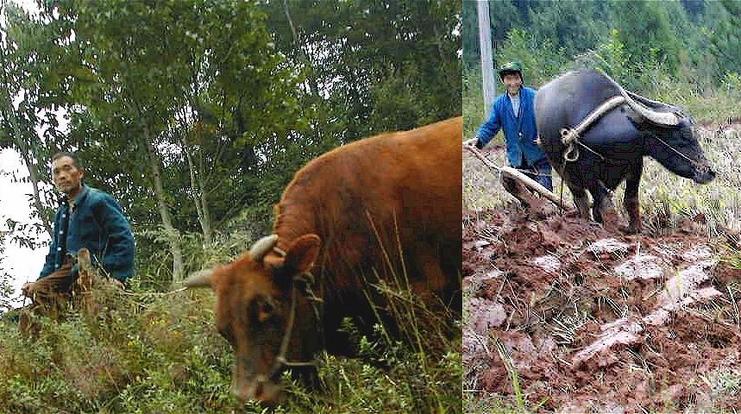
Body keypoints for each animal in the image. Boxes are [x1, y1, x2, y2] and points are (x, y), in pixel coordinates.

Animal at [536, 71, 712, 233]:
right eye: (684, 136)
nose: (709, 172)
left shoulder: (635, 165)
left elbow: (631, 199)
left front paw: (635, 229)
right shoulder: (588, 172)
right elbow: (605, 203)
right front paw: (612, 230)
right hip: (563, 171)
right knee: (582, 200)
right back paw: (585, 224)